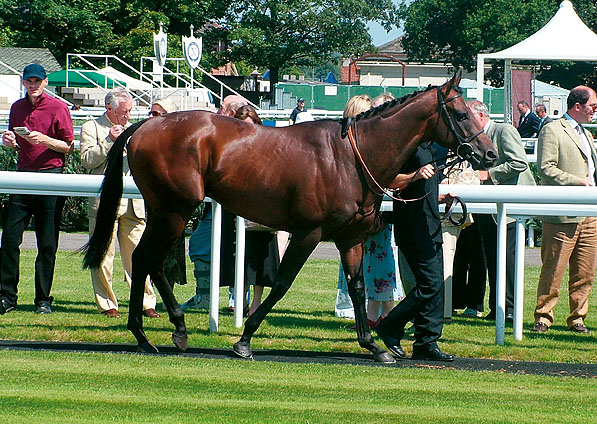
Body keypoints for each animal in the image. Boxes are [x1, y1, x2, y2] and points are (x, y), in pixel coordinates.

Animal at [81, 73, 496, 364]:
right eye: (461, 114)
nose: (489, 154)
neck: (352, 157)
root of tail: (146, 124)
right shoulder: (308, 233)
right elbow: (281, 283)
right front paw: (244, 340)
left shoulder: (351, 237)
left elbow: (358, 288)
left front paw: (373, 345)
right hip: (175, 209)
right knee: (147, 259)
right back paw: (153, 332)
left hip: (164, 211)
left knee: (146, 261)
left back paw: (161, 331)